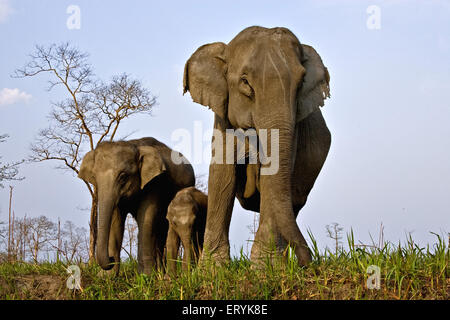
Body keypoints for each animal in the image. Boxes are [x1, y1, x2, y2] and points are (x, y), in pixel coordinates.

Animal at [182, 25, 330, 266]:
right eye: (245, 82)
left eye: (301, 83)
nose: (309, 263)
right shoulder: (223, 119)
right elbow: (221, 174)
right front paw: (213, 268)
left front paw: (265, 266)